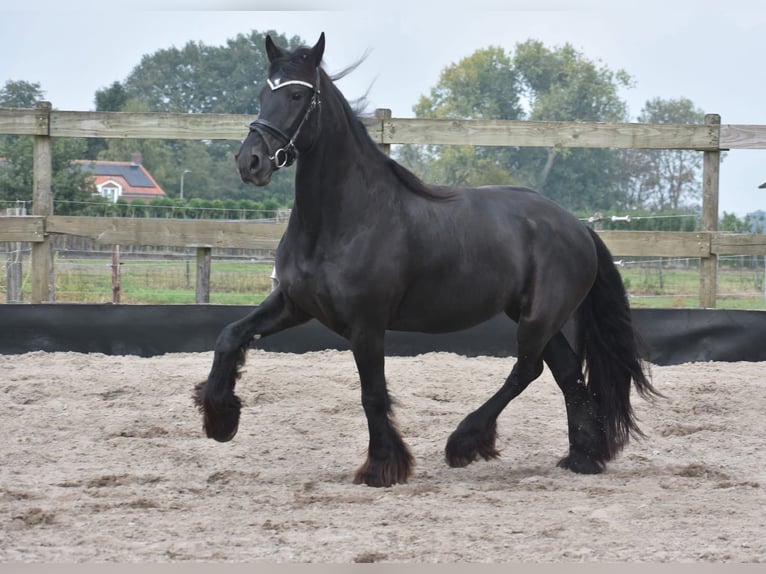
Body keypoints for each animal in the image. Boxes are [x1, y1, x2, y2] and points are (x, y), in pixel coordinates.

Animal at [194, 33, 658, 487]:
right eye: (261, 94)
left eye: (296, 95)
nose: (250, 161)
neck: (342, 220)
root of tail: (577, 226)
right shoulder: (294, 304)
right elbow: (229, 336)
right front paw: (220, 418)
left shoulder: (366, 325)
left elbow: (372, 393)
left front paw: (382, 467)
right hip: (536, 316)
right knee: (567, 373)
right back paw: (583, 458)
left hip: (539, 318)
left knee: (527, 370)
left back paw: (465, 442)